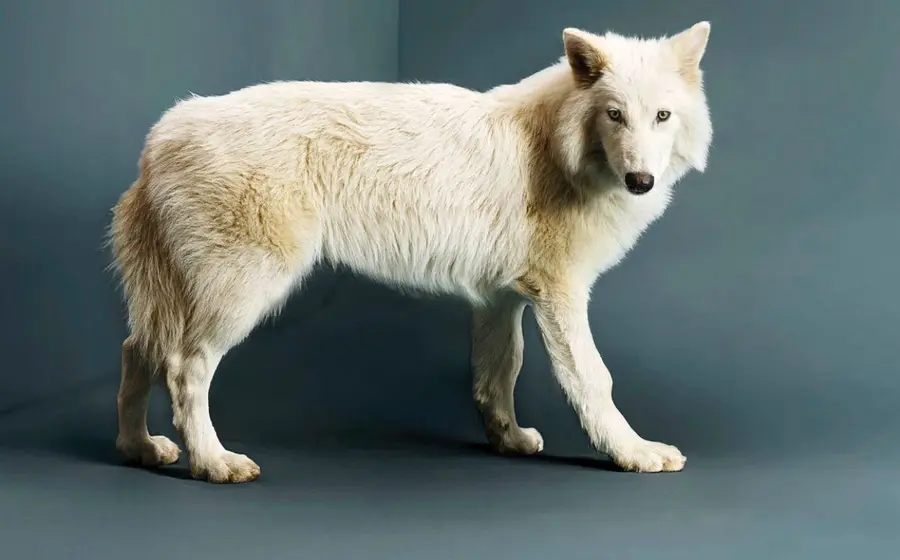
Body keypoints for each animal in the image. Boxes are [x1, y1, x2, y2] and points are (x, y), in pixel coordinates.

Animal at [108, 22, 713, 483]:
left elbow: (499, 375)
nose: (641, 181)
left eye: (662, 117)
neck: (556, 148)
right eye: (615, 115)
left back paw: (139, 449)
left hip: (175, 299)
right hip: (242, 294)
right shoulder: (560, 295)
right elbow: (594, 379)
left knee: (136, 351)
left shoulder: (500, 301)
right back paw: (213, 463)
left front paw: (509, 440)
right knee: (183, 368)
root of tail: (160, 136)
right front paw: (635, 453)